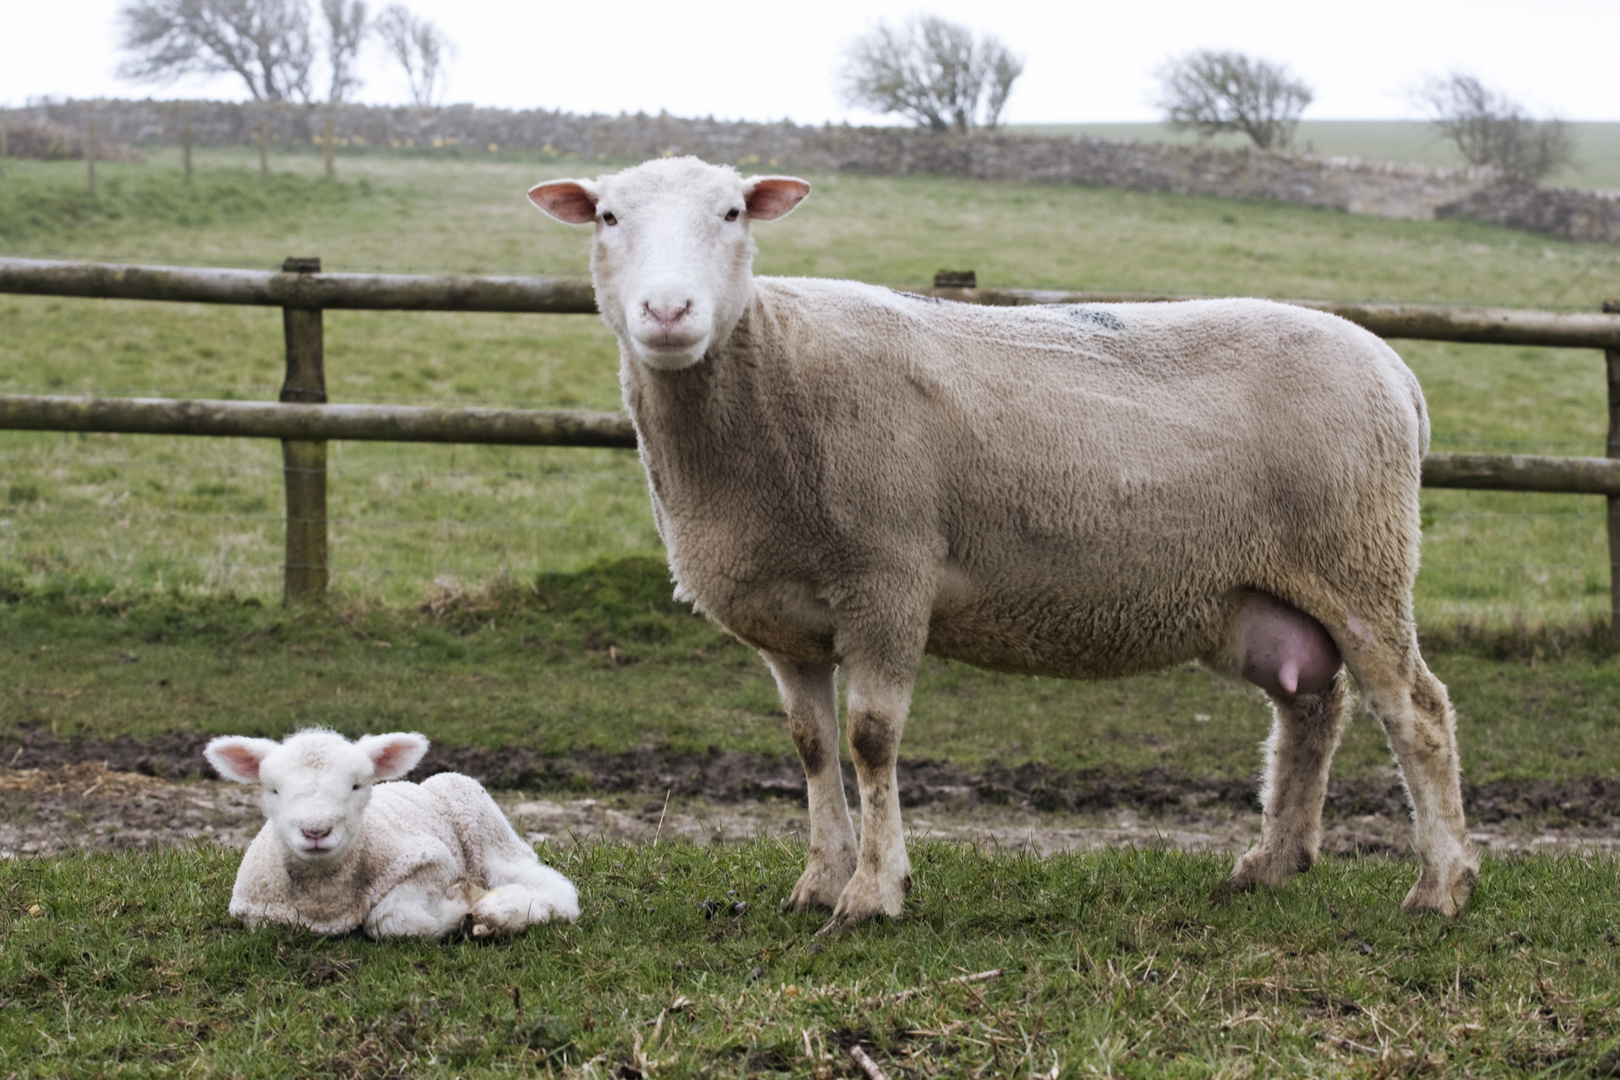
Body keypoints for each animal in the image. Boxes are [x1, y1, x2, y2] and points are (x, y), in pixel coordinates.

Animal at [205, 731, 579, 939]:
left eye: (357, 786)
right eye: (273, 790)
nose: (316, 831)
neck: (327, 899)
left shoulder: (432, 863)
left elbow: (388, 919)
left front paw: (462, 905)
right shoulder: (261, 916)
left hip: (489, 835)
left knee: (557, 891)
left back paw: (501, 911)